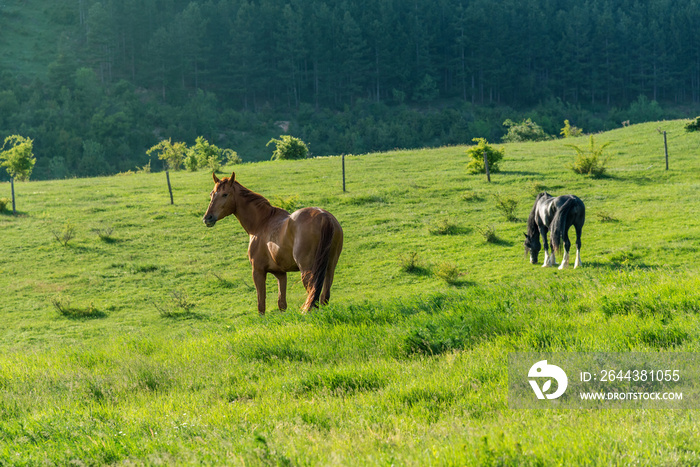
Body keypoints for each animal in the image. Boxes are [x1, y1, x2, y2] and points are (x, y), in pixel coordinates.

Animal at [201, 174, 344, 316]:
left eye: (225, 194)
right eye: (212, 194)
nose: (207, 218)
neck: (262, 222)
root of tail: (324, 216)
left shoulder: (258, 271)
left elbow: (261, 305)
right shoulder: (280, 274)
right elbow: (282, 304)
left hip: (308, 271)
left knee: (312, 298)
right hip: (329, 268)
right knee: (324, 297)